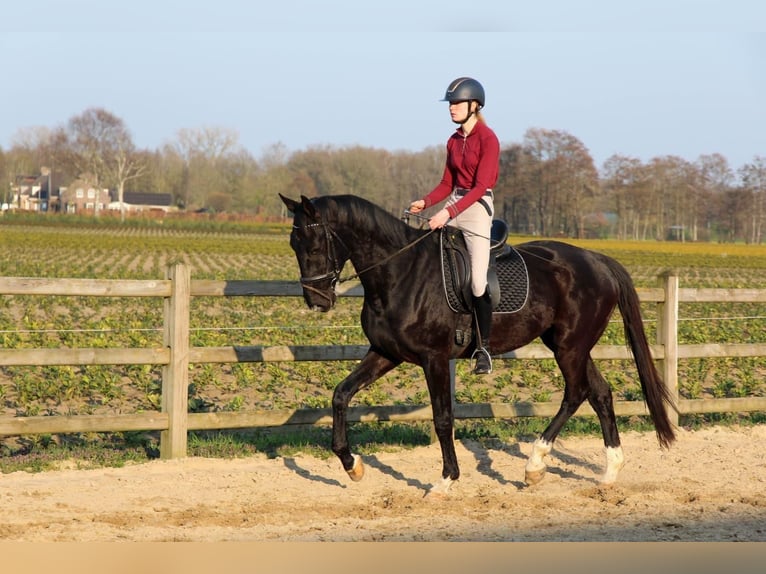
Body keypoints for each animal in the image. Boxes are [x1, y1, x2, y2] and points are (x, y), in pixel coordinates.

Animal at [279, 193, 676, 495]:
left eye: (316, 242)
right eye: (294, 243)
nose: (316, 301)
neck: (400, 273)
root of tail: (598, 260)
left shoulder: (434, 358)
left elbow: (442, 418)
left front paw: (445, 480)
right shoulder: (385, 354)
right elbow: (341, 395)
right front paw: (352, 465)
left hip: (569, 347)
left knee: (576, 393)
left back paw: (535, 464)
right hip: (572, 346)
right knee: (600, 393)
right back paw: (609, 472)